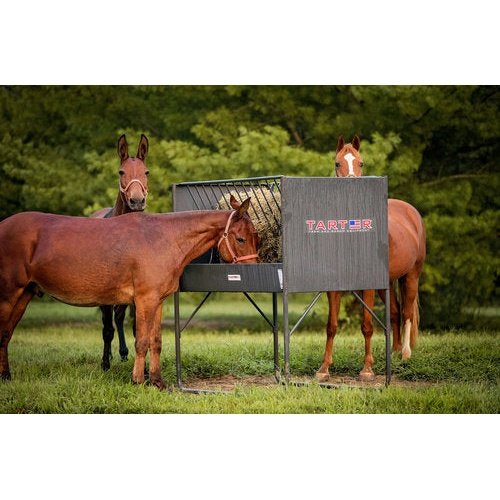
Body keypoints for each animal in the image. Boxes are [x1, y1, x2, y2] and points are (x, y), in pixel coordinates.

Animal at [0, 196, 258, 390]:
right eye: (241, 239)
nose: (254, 270)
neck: (165, 238)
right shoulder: (144, 300)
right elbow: (141, 341)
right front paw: (138, 380)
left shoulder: (157, 301)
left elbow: (156, 341)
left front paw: (157, 382)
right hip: (8, 296)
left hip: (23, 295)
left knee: (6, 335)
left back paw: (6, 376)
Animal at [316, 135, 426, 380]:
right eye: (337, 163)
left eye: (361, 163)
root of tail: (411, 213)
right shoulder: (334, 287)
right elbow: (331, 326)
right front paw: (324, 368)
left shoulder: (367, 287)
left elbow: (367, 326)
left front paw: (367, 369)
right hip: (387, 283)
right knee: (394, 312)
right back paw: (393, 352)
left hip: (411, 276)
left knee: (406, 312)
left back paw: (405, 354)